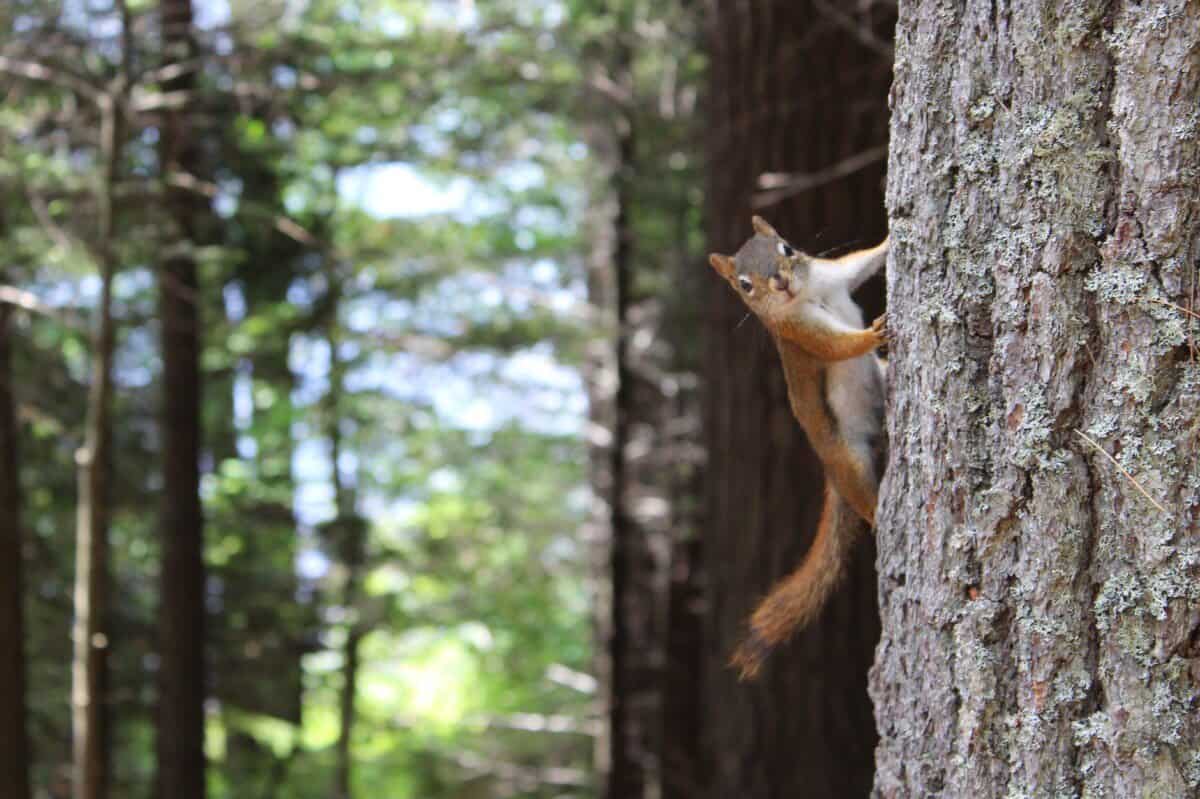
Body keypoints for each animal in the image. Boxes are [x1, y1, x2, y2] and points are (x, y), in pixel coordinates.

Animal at [705, 214, 888, 676]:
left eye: (786, 248)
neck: (809, 293)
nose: (781, 284)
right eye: (744, 285)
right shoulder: (798, 333)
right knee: (864, 499)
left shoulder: (835, 275)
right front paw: (872, 334)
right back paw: (879, 514)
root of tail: (830, 474)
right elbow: (836, 345)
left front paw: (891, 240)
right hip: (848, 460)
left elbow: (863, 262)